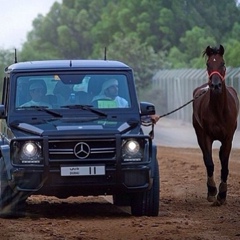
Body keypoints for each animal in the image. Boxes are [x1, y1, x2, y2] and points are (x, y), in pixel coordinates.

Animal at [192, 44, 239, 205]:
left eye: (222, 63)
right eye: (208, 64)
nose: (216, 85)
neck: (219, 110)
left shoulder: (228, 137)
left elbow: (224, 163)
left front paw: (222, 194)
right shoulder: (205, 136)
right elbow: (209, 162)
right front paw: (212, 191)